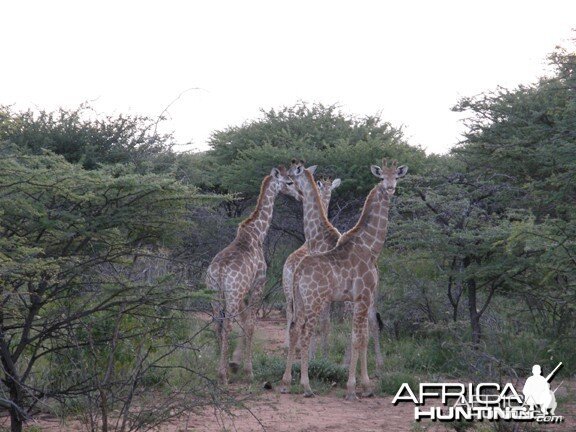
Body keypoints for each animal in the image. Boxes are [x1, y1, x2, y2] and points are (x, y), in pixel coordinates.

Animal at [207, 165, 300, 384]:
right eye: (289, 181)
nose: (300, 195)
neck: (257, 234)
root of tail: (220, 271)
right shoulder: (259, 283)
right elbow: (250, 324)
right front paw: (248, 371)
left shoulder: (245, 290)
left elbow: (244, 321)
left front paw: (234, 363)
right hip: (232, 295)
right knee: (227, 325)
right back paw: (222, 376)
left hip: (215, 293)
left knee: (217, 325)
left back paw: (218, 369)